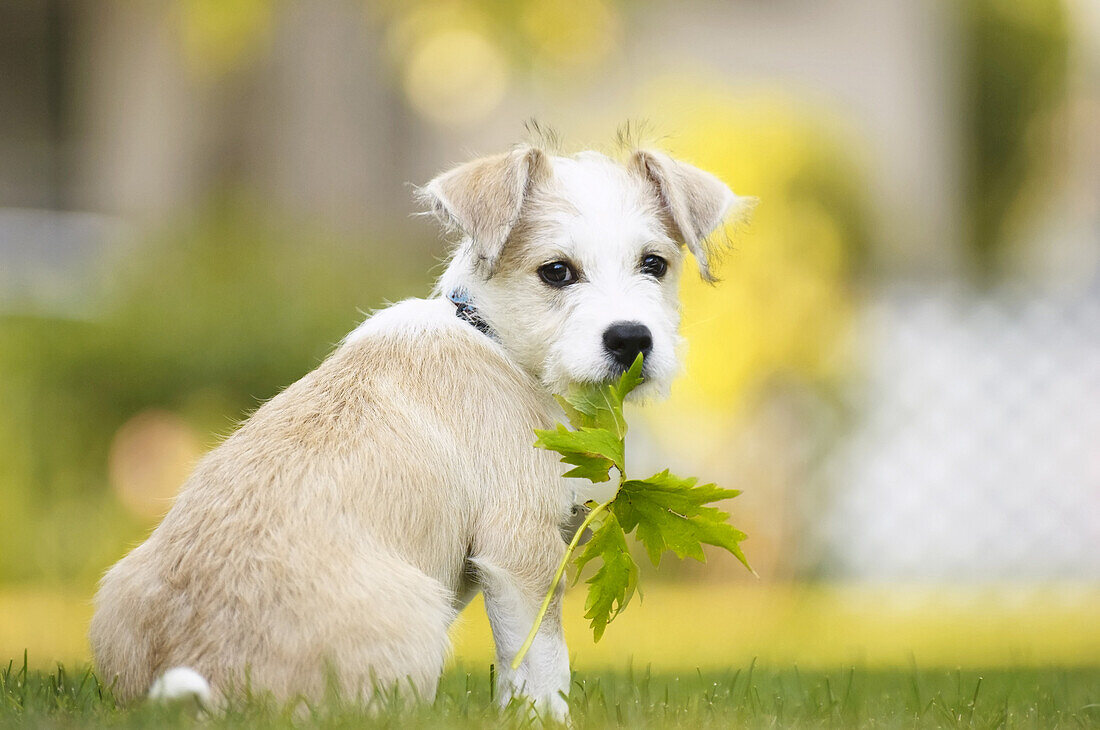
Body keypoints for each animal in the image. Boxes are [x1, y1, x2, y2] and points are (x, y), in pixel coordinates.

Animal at [90, 144, 752, 716]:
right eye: (557, 272)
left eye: (654, 265)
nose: (631, 339)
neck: (496, 339)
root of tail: (202, 687)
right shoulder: (521, 555)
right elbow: (542, 667)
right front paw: (546, 718)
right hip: (416, 621)